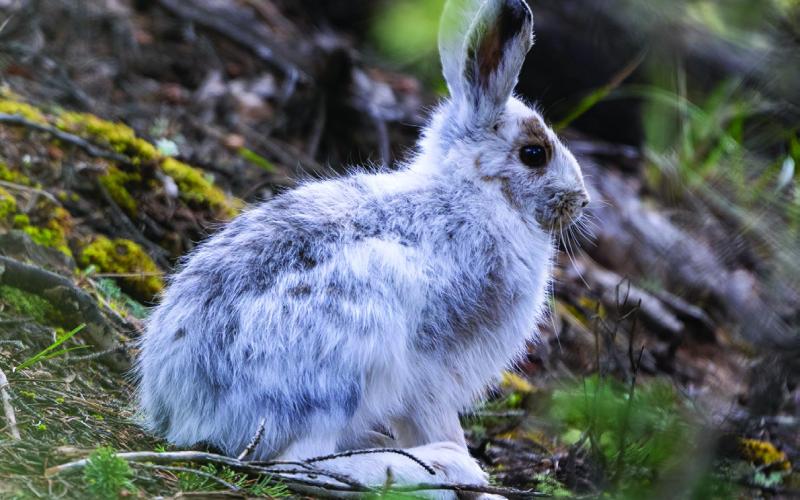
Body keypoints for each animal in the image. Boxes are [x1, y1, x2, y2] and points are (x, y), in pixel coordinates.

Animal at [137, 0, 589, 495]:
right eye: (534, 154)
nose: (582, 200)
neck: (473, 191)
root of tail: (184, 412)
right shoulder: (436, 365)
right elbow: (439, 418)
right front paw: (477, 477)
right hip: (350, 354)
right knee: (297, 462)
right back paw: (436, 468)